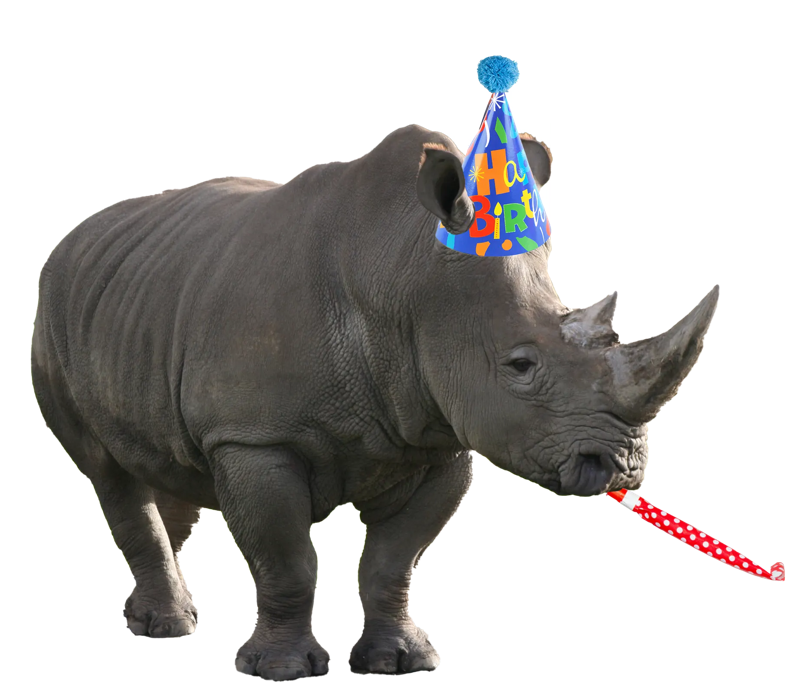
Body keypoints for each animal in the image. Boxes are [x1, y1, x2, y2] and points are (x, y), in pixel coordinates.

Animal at [31, 123, 718, 681]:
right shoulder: (254, 435)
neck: (404, 271)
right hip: (56, 312)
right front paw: (282, 670)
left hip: (145, 296)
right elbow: (287, 559)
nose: (623, 465)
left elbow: (394, 562)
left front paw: (400, 662)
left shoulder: (438, 436)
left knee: (169, 464)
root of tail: (78, 234)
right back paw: (166, 625)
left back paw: (153, 609)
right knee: (111, 472)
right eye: (521, 367)